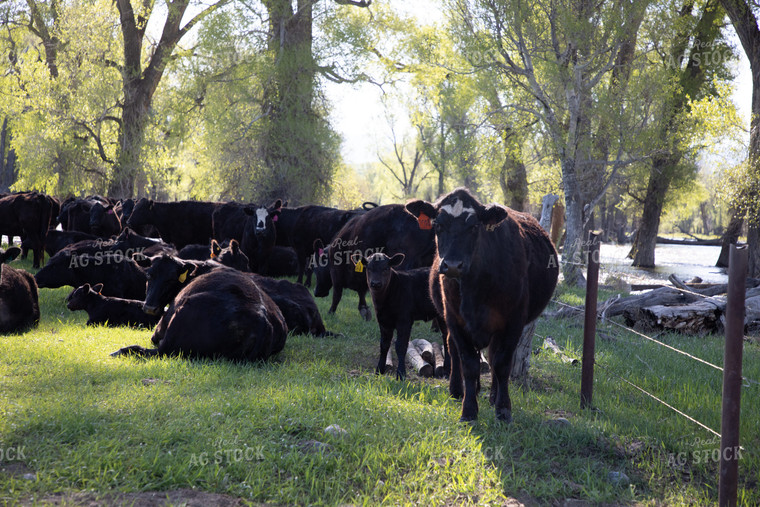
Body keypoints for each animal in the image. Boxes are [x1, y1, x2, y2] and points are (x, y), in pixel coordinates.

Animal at [404, 189, 560, 422]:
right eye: (438, 225)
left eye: (474, 226)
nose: (452, 265)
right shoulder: (455, 320)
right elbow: (469, 363)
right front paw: (468, 411)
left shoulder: (513, 322)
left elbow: (502, 363)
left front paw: (503, 409)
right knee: (453, 349)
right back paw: (458, 390)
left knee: (494, 356)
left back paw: (493, 396)